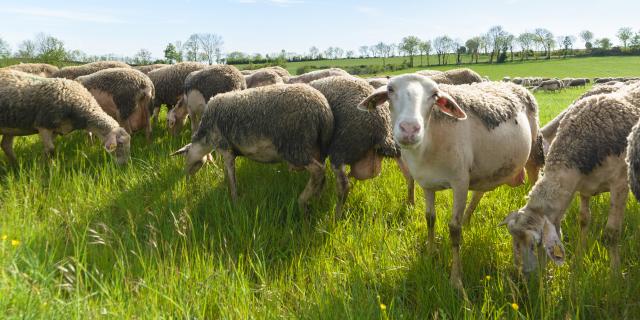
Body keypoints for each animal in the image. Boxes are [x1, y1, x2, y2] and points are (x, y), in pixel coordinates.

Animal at [0, 70, 131, 165]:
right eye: (119, 144)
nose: (123, 165)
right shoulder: (44, 124)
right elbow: (51, 149)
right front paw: (46, 168)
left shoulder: (57, 130)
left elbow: (48, 149)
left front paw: (46, 165)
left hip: (11, 127)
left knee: (6, 146)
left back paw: (16, 166)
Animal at [170, 84, 332, 211]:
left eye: (185, 156)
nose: (187, 179)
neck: (206, 140)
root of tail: (323, 110)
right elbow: (228, 174)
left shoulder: (226, 149)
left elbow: (231, 176)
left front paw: (234, 201)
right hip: (315, 148)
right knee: (321, 177)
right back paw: (317, 199)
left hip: (297, 147)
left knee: (318, 171)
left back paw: (302, 201)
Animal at [358, 74, 544, 292]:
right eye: (390, 90)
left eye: (434, 95)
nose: (410, 129)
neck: (429, 142)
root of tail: (510, 84)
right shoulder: (426, 183)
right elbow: (429, 218)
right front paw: (430, 254)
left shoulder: (460, 182)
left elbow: (454, 229)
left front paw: (456, 280)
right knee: (479, 192)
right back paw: (468, 219)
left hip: (533, 153)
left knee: (534, 184)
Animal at [500, 81, 640, 274]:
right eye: (514, 242)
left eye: (537, 243)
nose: (526, 276)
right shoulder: (584, 187)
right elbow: (584, 219)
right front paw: (579, 258)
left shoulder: (619, 185)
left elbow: (611, 233)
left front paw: (615, 273)